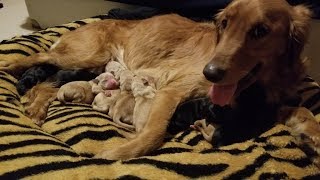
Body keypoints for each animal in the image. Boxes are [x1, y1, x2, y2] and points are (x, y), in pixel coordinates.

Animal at [1, 0, 318, 160]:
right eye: (224, 24)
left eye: (260, 31)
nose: (210, 72)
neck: (262, 83)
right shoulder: (172, 90)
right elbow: (153, 135)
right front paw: (118, 152)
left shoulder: (261, 104)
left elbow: (301, 109)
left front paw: (310, 132)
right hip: (85, 56)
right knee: (35, 58)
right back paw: (10, 64)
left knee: (46, 83)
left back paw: (35, 108)